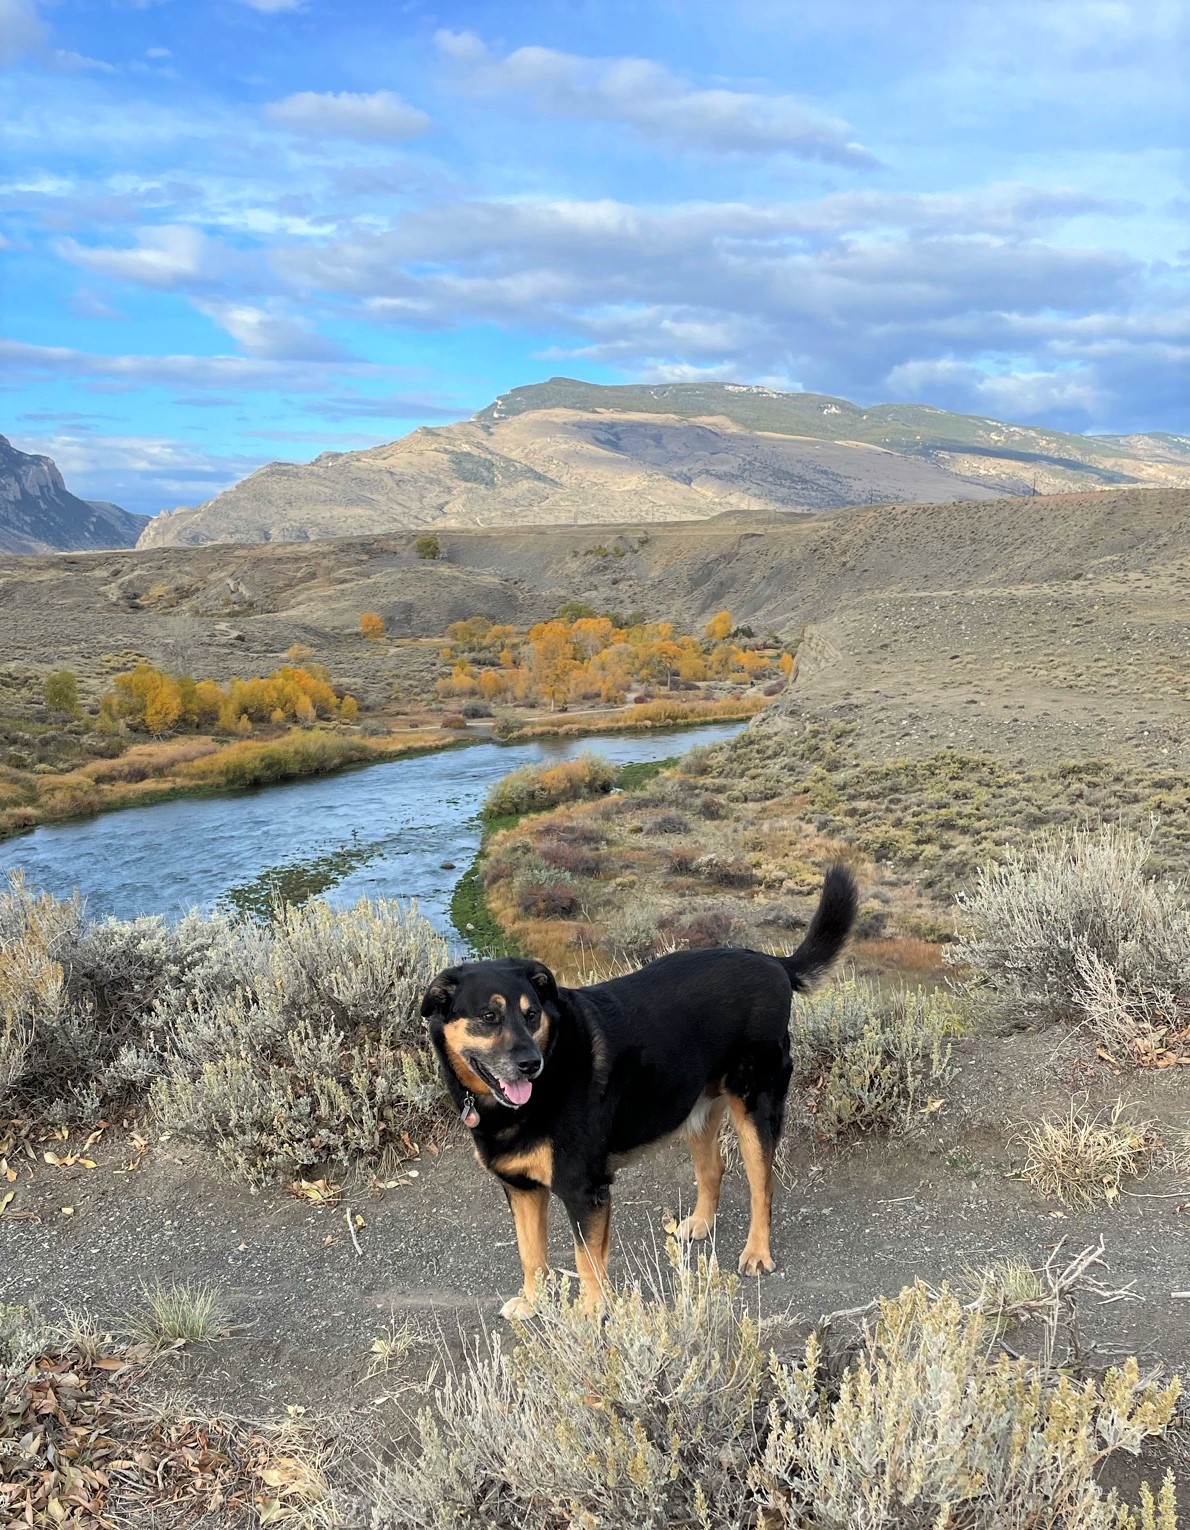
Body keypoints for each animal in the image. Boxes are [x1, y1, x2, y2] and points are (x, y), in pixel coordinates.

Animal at [416, 862, 850, 1315]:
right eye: (488, 1016)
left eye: (531, 1014)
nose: (530, 1064)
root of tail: (773, 963)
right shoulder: (522, 1190)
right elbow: (530, 1252)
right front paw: (533, 1301)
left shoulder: (584, 1190)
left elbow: (587, 1261)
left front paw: (591, 1314)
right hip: (695, 1109)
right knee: (713, 1167)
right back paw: (699, 1222)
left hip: (755, 1106)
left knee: (762, 1185)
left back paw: (757, 1252)